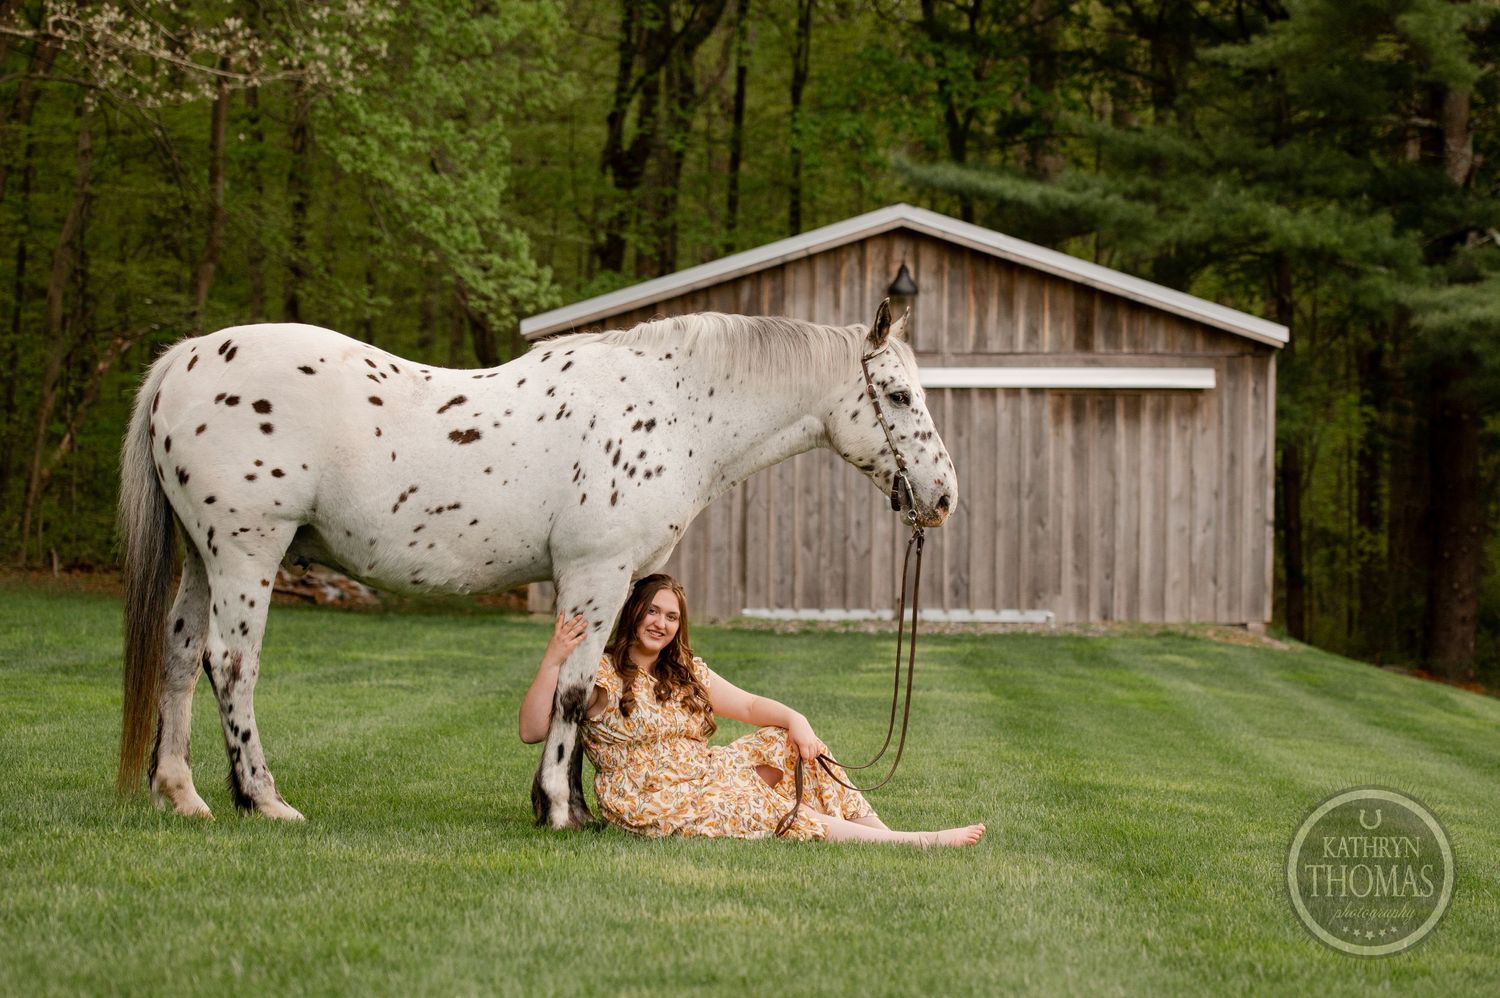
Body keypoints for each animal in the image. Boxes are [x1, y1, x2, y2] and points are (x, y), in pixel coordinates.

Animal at [117, 300, 957, 828]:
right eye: (896, 394)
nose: (943, 496)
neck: (676, 407)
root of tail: (185, 360)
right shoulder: (596, 571)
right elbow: (576, 690)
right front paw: (557, 807)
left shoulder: (623, 578)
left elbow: (592, 691)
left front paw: (575, 803)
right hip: (248, 551)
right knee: (232, 663)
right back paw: (262, 799)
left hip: (205, 558)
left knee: (182, 652)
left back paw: (180, 793)